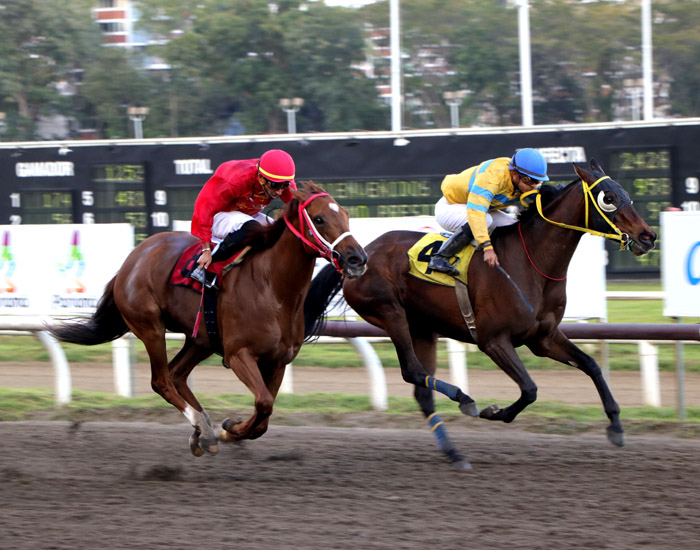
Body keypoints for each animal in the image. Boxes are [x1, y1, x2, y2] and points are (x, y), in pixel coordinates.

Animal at [50, 181, 370, 458]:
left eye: (345, 215)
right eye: (319, 219)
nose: (357, 258)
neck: (272, 288)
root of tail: (132, 259)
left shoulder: (278, 360)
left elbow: (264, 417)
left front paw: (229, 429)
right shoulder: (239, 354)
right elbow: (264, 403)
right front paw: (228, 428)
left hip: (201, 338)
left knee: (177, 374)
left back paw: (202, 428)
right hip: (150, 326)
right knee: (162, 380)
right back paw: (202, 427)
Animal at [304, 161, 656, 470]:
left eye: (626, 193)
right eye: (608, 198)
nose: (648, 236)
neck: (531, 262)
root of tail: (357, 255)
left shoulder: (543, 337)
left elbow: (591, 365)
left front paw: (616, 426)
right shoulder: (493, 340)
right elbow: (530, 389)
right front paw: (493, 412)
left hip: (423, 328)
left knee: (422, 390)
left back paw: (455, 453)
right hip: (391, 315)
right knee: (413, 372)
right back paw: (465, 400)